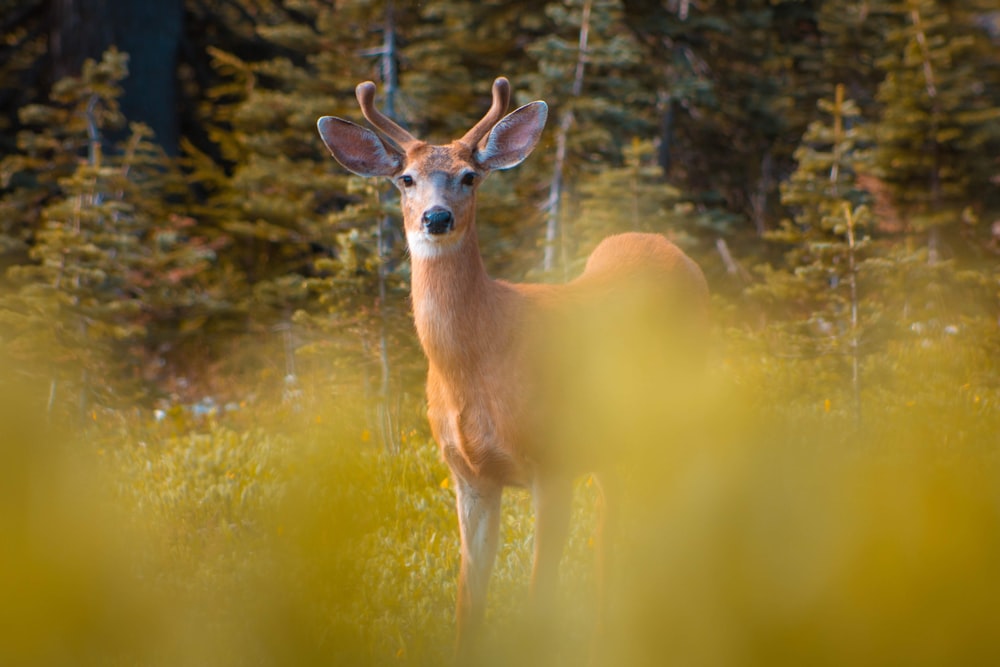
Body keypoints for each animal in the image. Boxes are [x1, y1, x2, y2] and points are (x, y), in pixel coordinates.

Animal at [316, 75, 708, 656]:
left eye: (468, 175)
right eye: (406, 179)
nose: (437, 218)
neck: (474, 367)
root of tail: (671, 249)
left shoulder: (554, 463)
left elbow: (539, 598)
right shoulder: (468, 476)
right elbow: (468, 601)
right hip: (614, 441)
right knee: (612, 528)